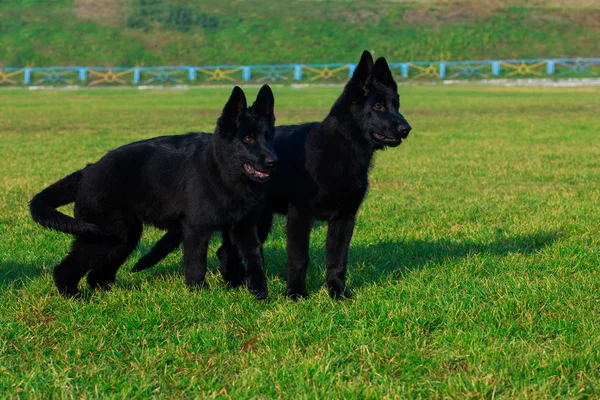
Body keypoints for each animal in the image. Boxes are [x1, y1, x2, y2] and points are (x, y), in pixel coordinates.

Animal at [29, 86, 278, 298]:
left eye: (268, 137)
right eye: (248, 138)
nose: (274, 162)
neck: (222, 172)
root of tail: (87, 170)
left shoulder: (245, 227)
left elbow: (255, 257)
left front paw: (259, 290)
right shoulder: (195, 230)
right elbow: (196, 265)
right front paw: (199, 294)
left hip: (122, 239)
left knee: (96, 276)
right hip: (107, 237)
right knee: (65, 269)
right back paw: (73, 296)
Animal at [134, 50, 410, 298]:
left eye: (396, 104)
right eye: (378, 106)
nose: (406, 128)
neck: (340, 150)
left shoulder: (344, 219)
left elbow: (338, 260)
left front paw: (338, 292)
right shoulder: (300, 217)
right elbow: (299, 258)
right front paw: (296, 294)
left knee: (226, 251)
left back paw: (237, 284)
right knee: (227, 252)